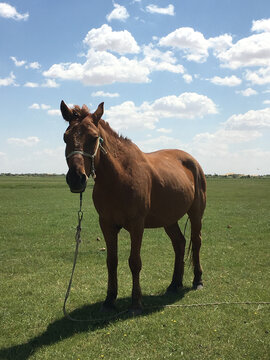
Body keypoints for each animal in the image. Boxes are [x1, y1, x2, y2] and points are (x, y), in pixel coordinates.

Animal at [60, 100, 206, 314]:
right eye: (65, 137)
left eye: (94, 137)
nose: (76, 179)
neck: (118, 178)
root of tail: (192, 161)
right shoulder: (107, 224)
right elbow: (111, 261)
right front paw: (109, 300)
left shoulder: (137, 225)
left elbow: (134, 262)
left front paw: (136, 302)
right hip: (169, 219)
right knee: (179, 243)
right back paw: (174, 284)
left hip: (196, 214)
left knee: (196, 242)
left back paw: (198, 281)